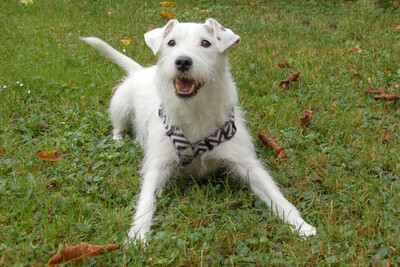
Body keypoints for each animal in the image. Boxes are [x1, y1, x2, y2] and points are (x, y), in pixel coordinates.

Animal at [81, 18, 316, 245]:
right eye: (171, 42)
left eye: (206, 43)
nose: (183, 61)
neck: (194, 111)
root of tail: (141, 70)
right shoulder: (157, 166)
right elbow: (146, 200)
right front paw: (137, 234)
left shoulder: (246, 164)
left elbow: (276, 195)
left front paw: (301, 225)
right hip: (120, 106)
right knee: (118, 127)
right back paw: (118, 140)